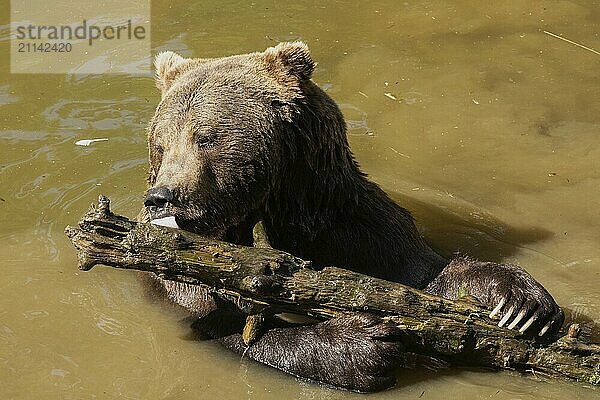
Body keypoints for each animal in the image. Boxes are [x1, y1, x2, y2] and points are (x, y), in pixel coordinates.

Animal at [143, 42, 564, 392]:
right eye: (161, 143)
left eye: (205, 138)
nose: (162, 197)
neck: (276, 210)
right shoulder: (191, 262)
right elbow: (218, 317)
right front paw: (364, 344)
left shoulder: (349, 224)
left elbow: (421, 276)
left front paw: (520, 303)